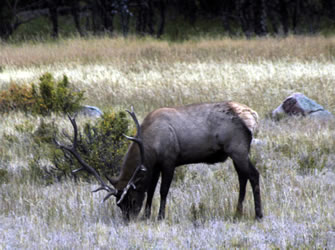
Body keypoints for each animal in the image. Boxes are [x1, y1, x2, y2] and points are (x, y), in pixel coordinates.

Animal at [56, 101, 264, 221]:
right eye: (118, 203)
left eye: (131, 199)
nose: (128, 220)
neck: (150, 146)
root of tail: (253, 116)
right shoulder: (153, 166)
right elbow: (151, 190)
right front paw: (147, 215)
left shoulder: (169, 160)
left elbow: (163, 190)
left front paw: (160, 216)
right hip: (235, 152)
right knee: (243, 177)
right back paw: (238, 212)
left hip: (238, 148)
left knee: (253, 174)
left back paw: (258, 214)